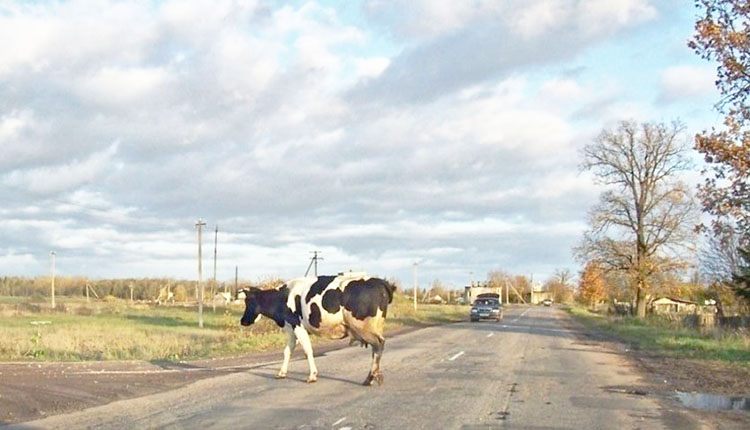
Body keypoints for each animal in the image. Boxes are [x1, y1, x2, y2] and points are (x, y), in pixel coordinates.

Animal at [241, 274, 396, 388]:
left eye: (248, 302)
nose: (242, 321)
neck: (283, 297)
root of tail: (379, 281)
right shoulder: (291, 328)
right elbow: (287, 351)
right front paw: (281, 373)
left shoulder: (297, 326)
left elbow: (307, 350)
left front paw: (312, 376)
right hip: (374, 326)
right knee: (376, 348)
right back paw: (372, 377)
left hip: (363, 326)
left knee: (378, 345)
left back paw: (369, 378)